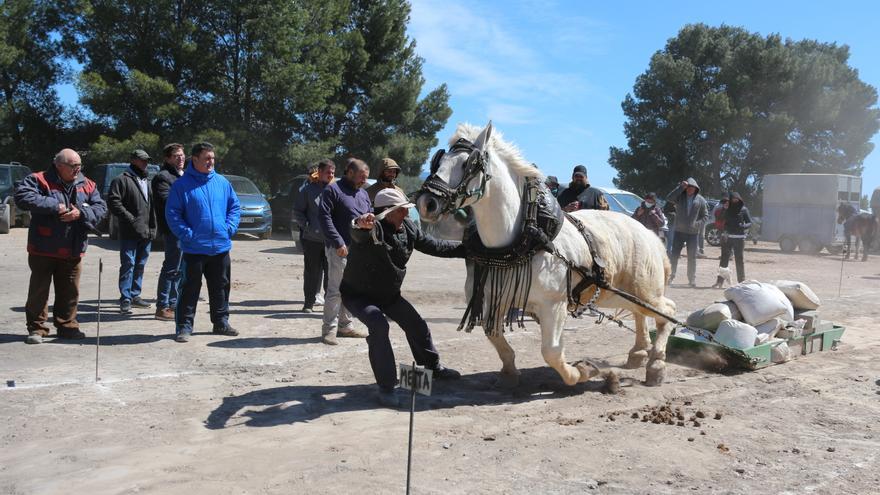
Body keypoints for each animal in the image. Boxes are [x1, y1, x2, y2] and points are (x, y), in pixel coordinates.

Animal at [416, 123, 676, 388]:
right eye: (438, 160)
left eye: (467, 164)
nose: (427, 202)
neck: (525, 238)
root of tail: (648, 234)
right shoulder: (494, 298)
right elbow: (494, 335)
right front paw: (509, 372)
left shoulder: (553, 306)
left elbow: (551, 351)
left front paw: (582, 371)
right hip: (616, 294)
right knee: (641, 314)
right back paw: (639, 353)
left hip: (643, 291)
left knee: (668, 312)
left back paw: (656, 364)